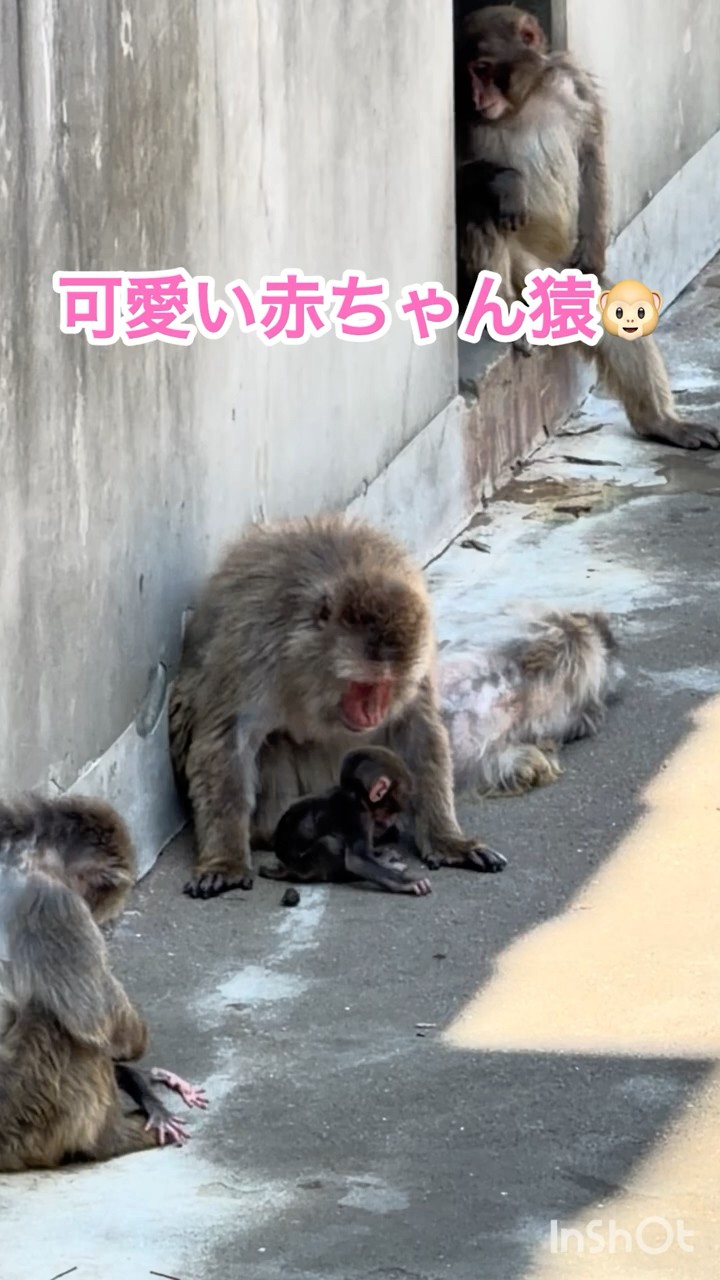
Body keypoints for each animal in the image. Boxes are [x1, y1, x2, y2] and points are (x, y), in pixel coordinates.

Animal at [0, 795, 207, 1170]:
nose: (100, 922)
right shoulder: (50, 900)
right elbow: (97, 1020)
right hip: (28, 1116)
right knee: (56, 1018)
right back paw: (112, 1138)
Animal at [259, 747, 433, 896]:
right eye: (394, 808)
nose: (392, 821)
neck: (358, 796)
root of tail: (286, 869)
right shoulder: (357, 812)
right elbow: (357, 860)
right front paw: (407, 882)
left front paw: (380, 854)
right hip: (307, 867)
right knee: (330, 843)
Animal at [454, 5, 720, 451]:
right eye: (469, 73)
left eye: (483, 69)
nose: (476, 96)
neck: (526, 99)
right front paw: (506, 181)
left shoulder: (573, 80)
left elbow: (591, 149)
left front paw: (595, 250)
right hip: (523, 266)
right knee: (483, 213)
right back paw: (502, 306)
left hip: (563, 273)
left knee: (615, 305)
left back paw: (660, 422)